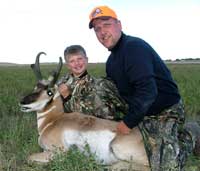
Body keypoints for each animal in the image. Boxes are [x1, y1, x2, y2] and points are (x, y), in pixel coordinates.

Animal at [19, 52, 150, 170]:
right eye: (36, 87)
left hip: (116, 146)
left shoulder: (57, 151)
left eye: (49, 92)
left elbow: (28, 158)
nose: (22, 102)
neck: (53, 120)